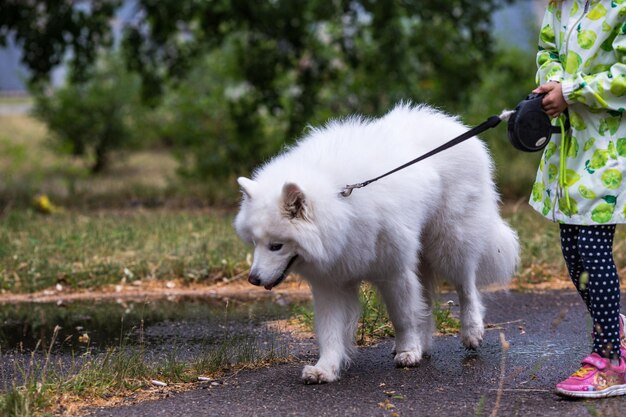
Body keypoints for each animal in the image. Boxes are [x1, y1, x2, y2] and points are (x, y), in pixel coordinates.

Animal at [233, 102, 516, 382]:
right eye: (255, 242)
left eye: (276, 245)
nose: (253, 279)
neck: (342, 205)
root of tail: (453, 124)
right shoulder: (331, 282)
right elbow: (330, 330)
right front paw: (325, 368)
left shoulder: (394, 271)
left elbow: (402, 317)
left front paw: (407, 351)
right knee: (427, 302)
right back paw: (424, 345)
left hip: (449, 244)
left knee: (466, 287)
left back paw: (471, 332)